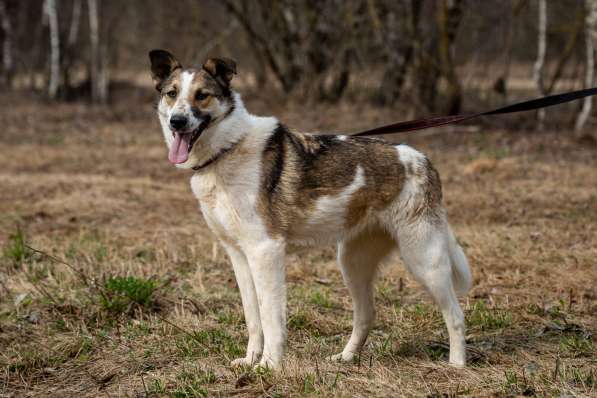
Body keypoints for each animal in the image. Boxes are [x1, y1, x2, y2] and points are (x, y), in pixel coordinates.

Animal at [148, 50, 470, 370]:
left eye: (202, 95)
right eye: (171, 94)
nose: (177, 121)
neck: (227, 148)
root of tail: (423, 160)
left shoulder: (266, 251)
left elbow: (270, 317)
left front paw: (269, 365)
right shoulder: (238, 255)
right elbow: (253, 317)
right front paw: (251, 360)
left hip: (424, 260)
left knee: (455, 314)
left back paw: (456, 364)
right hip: (352, 262)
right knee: (366, 315)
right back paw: (346, 357)